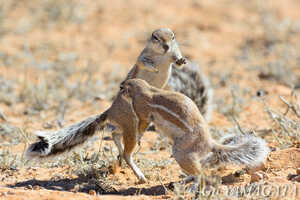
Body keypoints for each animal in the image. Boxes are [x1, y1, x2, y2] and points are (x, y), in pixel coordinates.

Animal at [119, 78, 270, 183]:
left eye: (122, 86)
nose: (119, 89)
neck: (144, 89)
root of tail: (209, 143)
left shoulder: (142, 110)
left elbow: (142, 124)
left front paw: (138, 136)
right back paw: (186, 180)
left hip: (181, 152)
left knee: (200, 173)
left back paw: (193, 184)